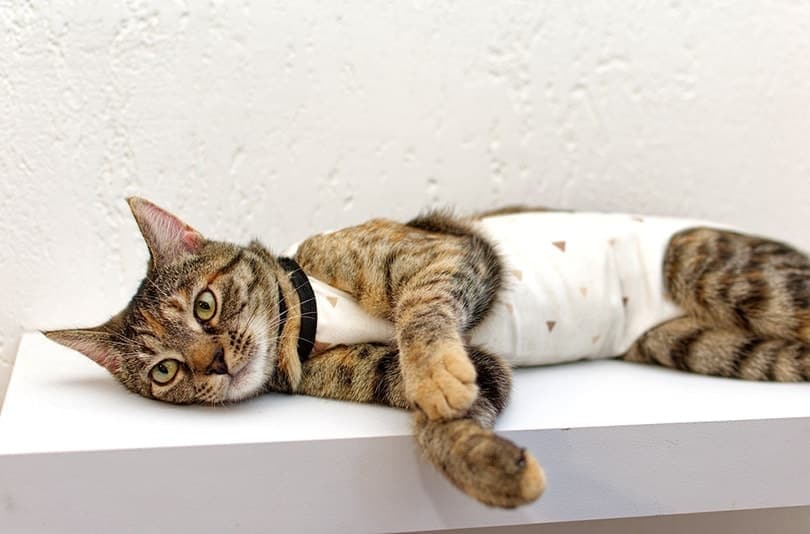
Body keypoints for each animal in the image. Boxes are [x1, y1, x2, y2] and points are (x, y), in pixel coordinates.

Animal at [45, 198, 808, 510]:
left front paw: (439, 373)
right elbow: (439, 428)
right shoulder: (468, 369)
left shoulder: (436, 254)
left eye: (204, 306)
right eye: (165, 371)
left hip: (725, 274)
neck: (311, 324)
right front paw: (496, 473)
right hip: (710, 347)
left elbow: (421, 314)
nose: (218, 367)